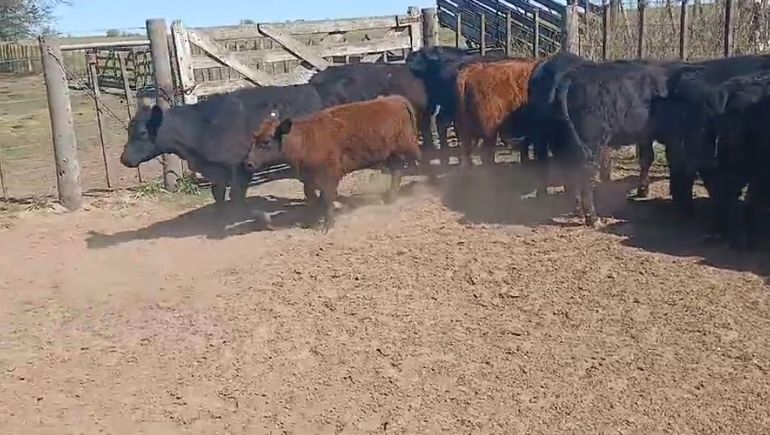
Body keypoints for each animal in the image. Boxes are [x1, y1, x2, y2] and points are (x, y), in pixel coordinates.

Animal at [119, 84, 325, 212]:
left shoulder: (240, 167)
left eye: (142, 133)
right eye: (128, 130)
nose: (124, 158)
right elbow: (218, 194)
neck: (202, 127)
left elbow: (236, 194)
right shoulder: (216, 171)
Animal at [242, 95, 422, 232]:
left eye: (266, 142)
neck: (305, 139)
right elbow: (312, 197)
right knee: (396, 172)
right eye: (253, 139)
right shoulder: (308, 179)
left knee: (418, 158)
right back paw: (391, 198)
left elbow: (327, 198)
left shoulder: (329, 176)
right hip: (392, 154)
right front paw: (314, 220)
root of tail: (396, 99)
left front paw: (328, 224)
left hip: (408, 145)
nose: (248, 163)